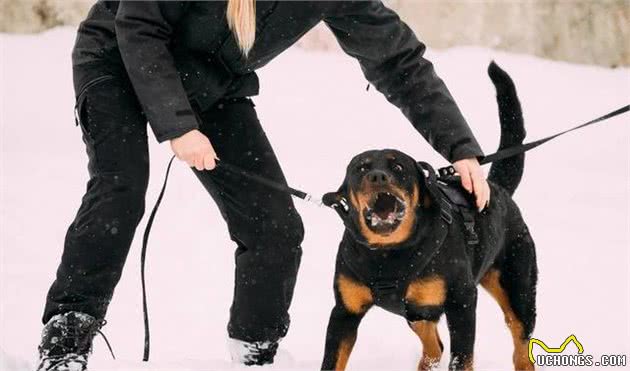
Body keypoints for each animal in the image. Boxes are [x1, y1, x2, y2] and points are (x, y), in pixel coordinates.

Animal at [320, 62, 540, 370]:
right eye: (360, 168)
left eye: (398, 167)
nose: (378, 176)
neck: (388, 255)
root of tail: (497, 189)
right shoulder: (344, 312)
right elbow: (333, 359)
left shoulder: (462, 301)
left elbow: (462, 359)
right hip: (418, 309)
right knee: (434, 343)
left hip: (518, 286)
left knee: (520, 342)